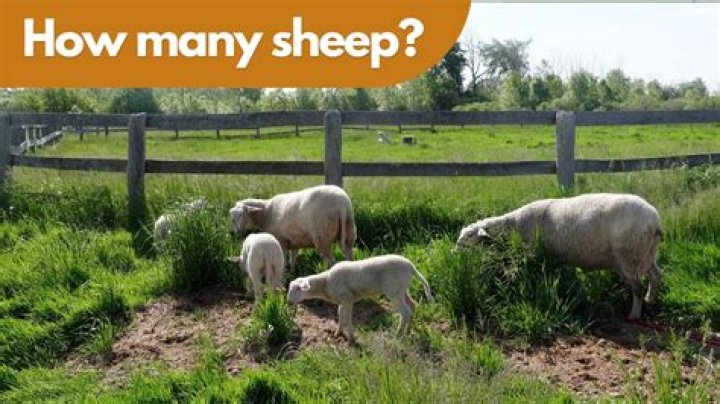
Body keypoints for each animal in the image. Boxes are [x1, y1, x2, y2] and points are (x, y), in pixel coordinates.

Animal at [287, 254, 433, 344]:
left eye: (298, 289)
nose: (288, 301)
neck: (326, 282)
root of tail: (410, 266)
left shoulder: (347, 298)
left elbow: (348, 318)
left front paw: (351, 339)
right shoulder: (342, 301)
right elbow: (340, 315)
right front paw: (338, 332)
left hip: (393, 290)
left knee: (405, 311)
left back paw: (397, 335)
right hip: (402, 288)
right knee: (412, 306)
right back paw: (408, 330)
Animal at [456, 193, 662, 319]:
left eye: (468, 239)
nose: (454, 255)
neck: (514, 226)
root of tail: (654, 221)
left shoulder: (536, 253)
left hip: (629, 255)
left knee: (638, 289)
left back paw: (634, 314)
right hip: (646, 254)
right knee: (656, 275)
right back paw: (650, 300)